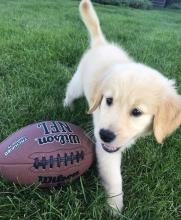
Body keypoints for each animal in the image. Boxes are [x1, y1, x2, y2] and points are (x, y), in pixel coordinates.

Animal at [63, 0, 181, 214]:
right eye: (108, 101)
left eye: (137, 112)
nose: (104, 135)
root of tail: (101, 43)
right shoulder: (106, 150)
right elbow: (114, 178)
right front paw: (115, 208)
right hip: (78, 84)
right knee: (70, 91)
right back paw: (67, 106)